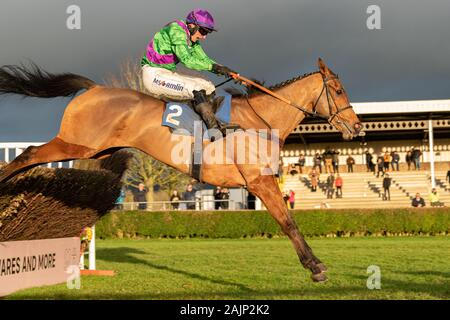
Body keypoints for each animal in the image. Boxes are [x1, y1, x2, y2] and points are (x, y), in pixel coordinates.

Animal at [0, 58, 362, 282]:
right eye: (339, 90)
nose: (357, 127)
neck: (261, 120)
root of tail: (93, 88)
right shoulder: (259, 181)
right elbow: (288, 222)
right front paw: (315, 267)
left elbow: (288, 220)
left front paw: (314, 265)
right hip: (76, 144)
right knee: (29, 154)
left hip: (95, 150)